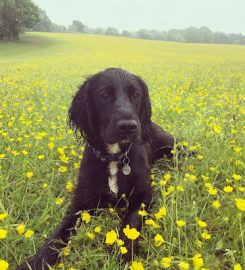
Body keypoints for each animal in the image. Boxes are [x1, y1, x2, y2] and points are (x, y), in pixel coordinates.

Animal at [16, 68, 174, 268]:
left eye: (136, 95)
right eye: (104, 95)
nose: (129, 127)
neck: (114, 158)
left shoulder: (144, 194)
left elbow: (131, 222)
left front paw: (123, 254)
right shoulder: (81, 204)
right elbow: (59, 234)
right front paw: (37, 260)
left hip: (169, 145)